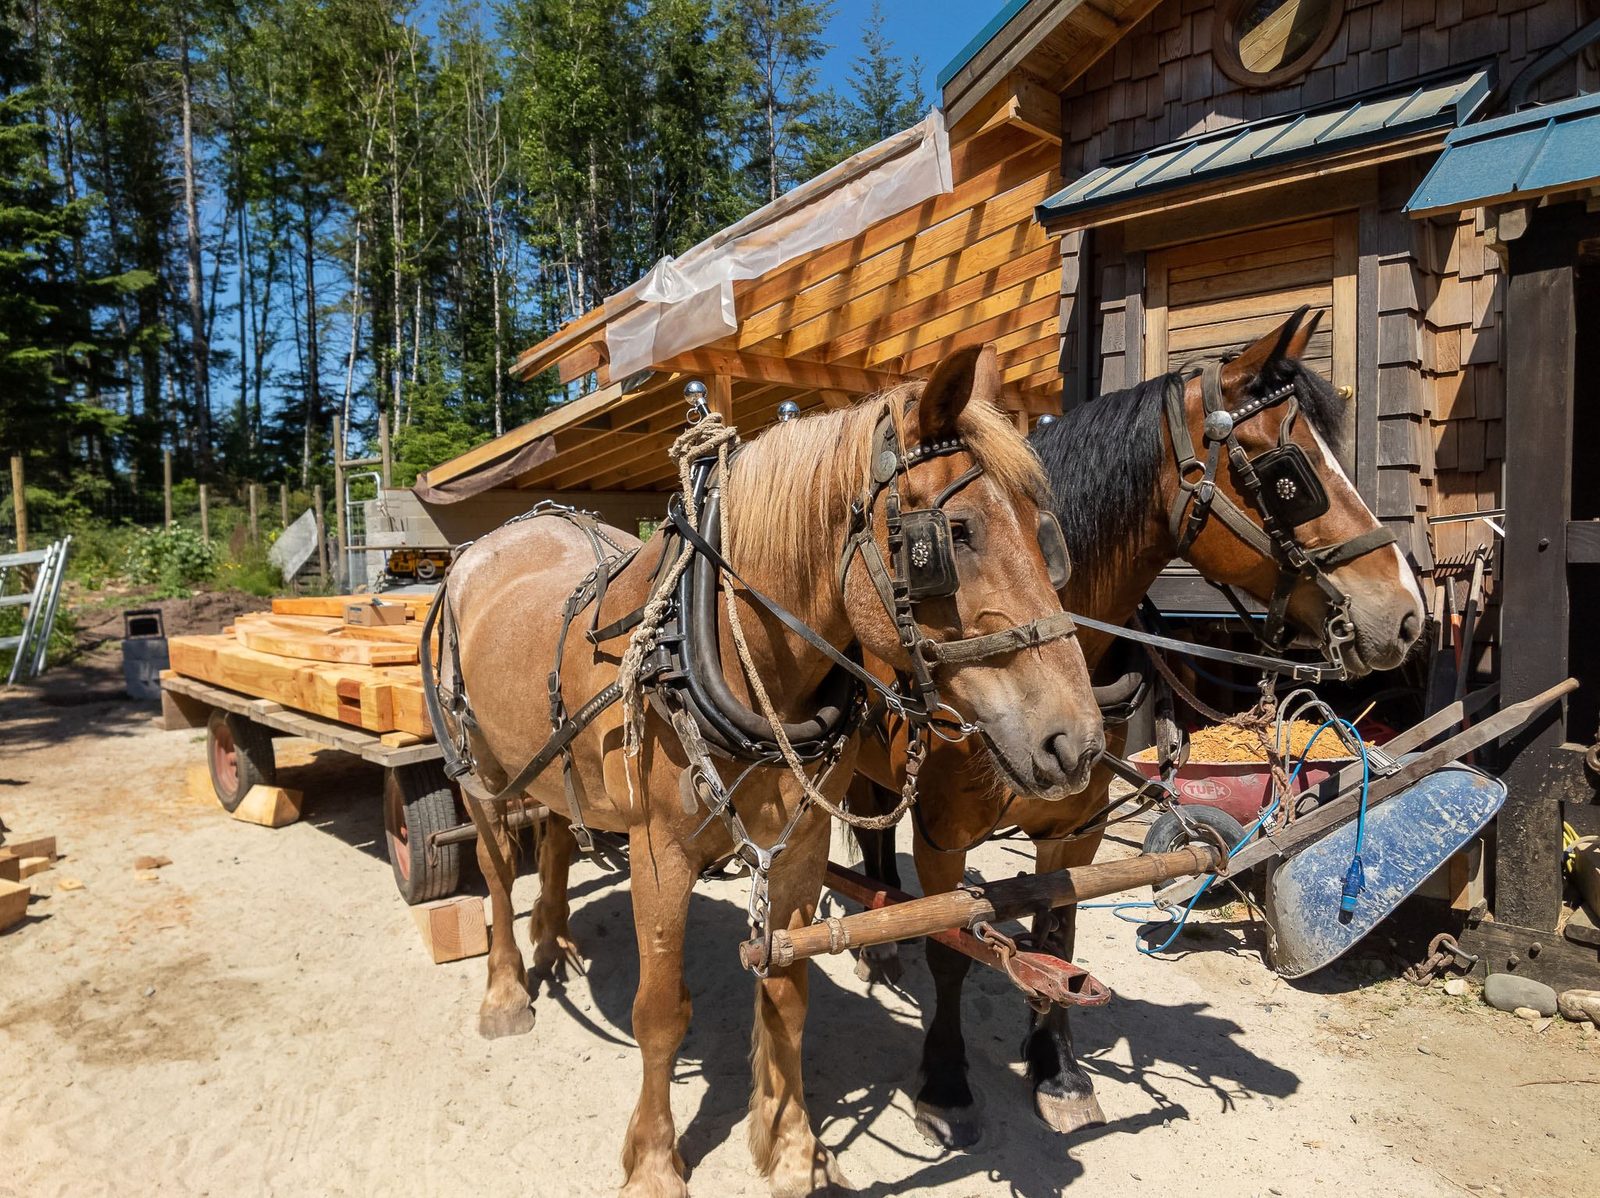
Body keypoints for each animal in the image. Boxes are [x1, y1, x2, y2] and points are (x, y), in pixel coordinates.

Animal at [436, 345, 1107, 1196]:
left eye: (1047, 536)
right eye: (952, 535)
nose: (1078, 743)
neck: (715, 640)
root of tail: (499, 539)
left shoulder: (797, 847)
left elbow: (788, 995)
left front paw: (792, 1149)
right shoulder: (659, 854)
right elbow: (660, 1011)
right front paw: (652, 1161)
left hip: (553, 761)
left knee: (554, 835)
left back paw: (553, 941)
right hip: (480, 767)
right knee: (496, 868)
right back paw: (505, 991)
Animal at [848, 309, 1427, 1148]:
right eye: (1288, 474)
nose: (1407, 613)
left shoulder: (1080, 825)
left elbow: (1057, 935)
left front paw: (1057, 1070)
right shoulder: (944, 830)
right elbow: (953, 943)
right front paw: (946, 1085)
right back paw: (879, 941)